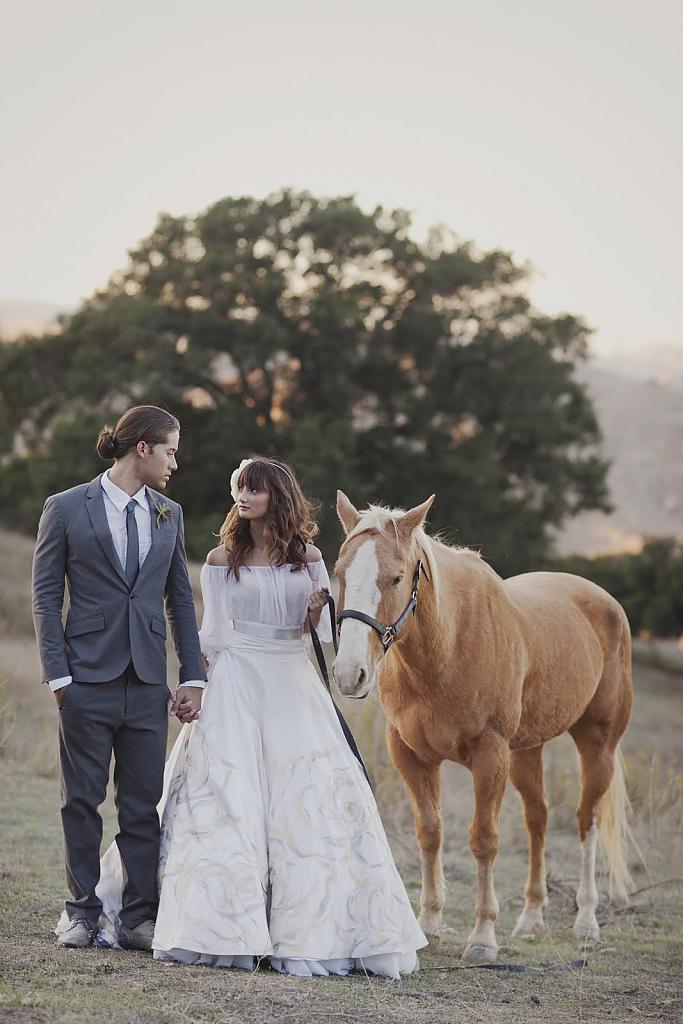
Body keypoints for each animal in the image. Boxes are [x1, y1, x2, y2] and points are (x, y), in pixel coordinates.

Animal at [333, 491, 634, 962]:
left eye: (396, 578)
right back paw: (531, 918)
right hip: (526, 751)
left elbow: (484, 840)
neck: (449, 646)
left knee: (586, 820)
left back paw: (586, 920)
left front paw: (482, 936)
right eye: (339, 572)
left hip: (596, 744)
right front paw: (429, 925)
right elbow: (430, 832)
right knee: (537, 818)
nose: (350, 675)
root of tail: (605, 602)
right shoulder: (411, 755)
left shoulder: (490, 755)